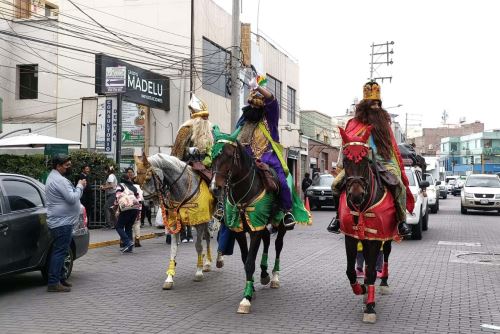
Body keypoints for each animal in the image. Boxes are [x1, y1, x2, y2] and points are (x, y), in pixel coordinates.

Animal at [135, 154, 217, 290]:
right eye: (137, 179)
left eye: (148, 178)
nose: (146, 202)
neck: (183, 189)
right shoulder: (175, 224)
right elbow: (173, 250)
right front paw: (169, 277)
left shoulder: (199, 222)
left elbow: (198, 246)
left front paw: (198, 272)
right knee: (208, 237)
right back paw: (208, 263)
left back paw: (218, 260)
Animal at [211, 137, 288, 314]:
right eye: (212, 157)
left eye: (229, 156)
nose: (215, 188)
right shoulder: (242, 230)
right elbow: (245, 258)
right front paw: (251, 288)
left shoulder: (255, 230)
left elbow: (250, 262)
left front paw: (246, 299)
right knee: (267, 241)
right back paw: (264, 274)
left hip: (279, 226)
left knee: (278, 245)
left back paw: (274, 277)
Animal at [338, 126, 400, 324]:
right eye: (345, 160)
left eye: (366, 161)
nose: (356, 195)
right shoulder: (351, 237)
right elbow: (350, 271)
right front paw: (361, 290)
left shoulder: (375, 238)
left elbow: (373, 271)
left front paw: (370, 307)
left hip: (387, 236)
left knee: (385, 256)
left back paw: (384, 282)